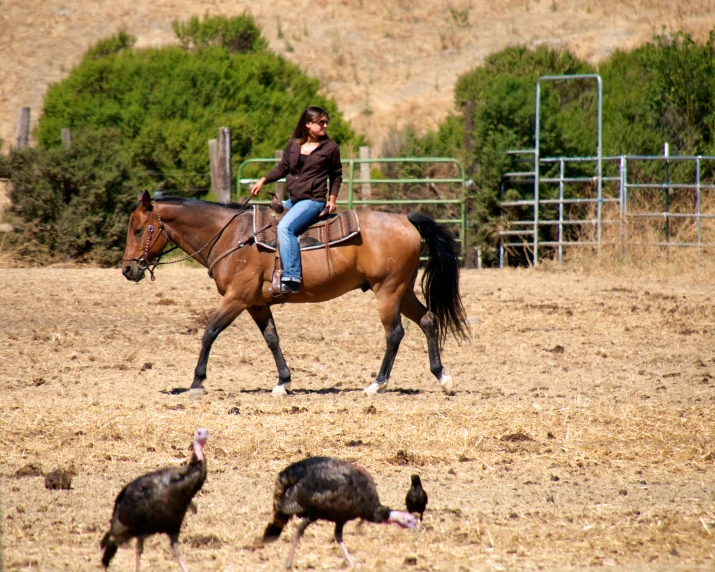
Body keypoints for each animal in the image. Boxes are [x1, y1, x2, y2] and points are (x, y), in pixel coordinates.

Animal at [121, 192, 470, 398]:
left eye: (138, 230)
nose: (127, 270)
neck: (233, 237)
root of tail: (403, 218)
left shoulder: (237, 298)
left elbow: (210, 332)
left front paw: (196, 382)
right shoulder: (257, 304)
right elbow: (272, 339)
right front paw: (283, 382)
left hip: (388, 291)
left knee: (395, 333)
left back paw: (377, 384)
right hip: (403, 291)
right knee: (428, 320)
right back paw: (443, 377)